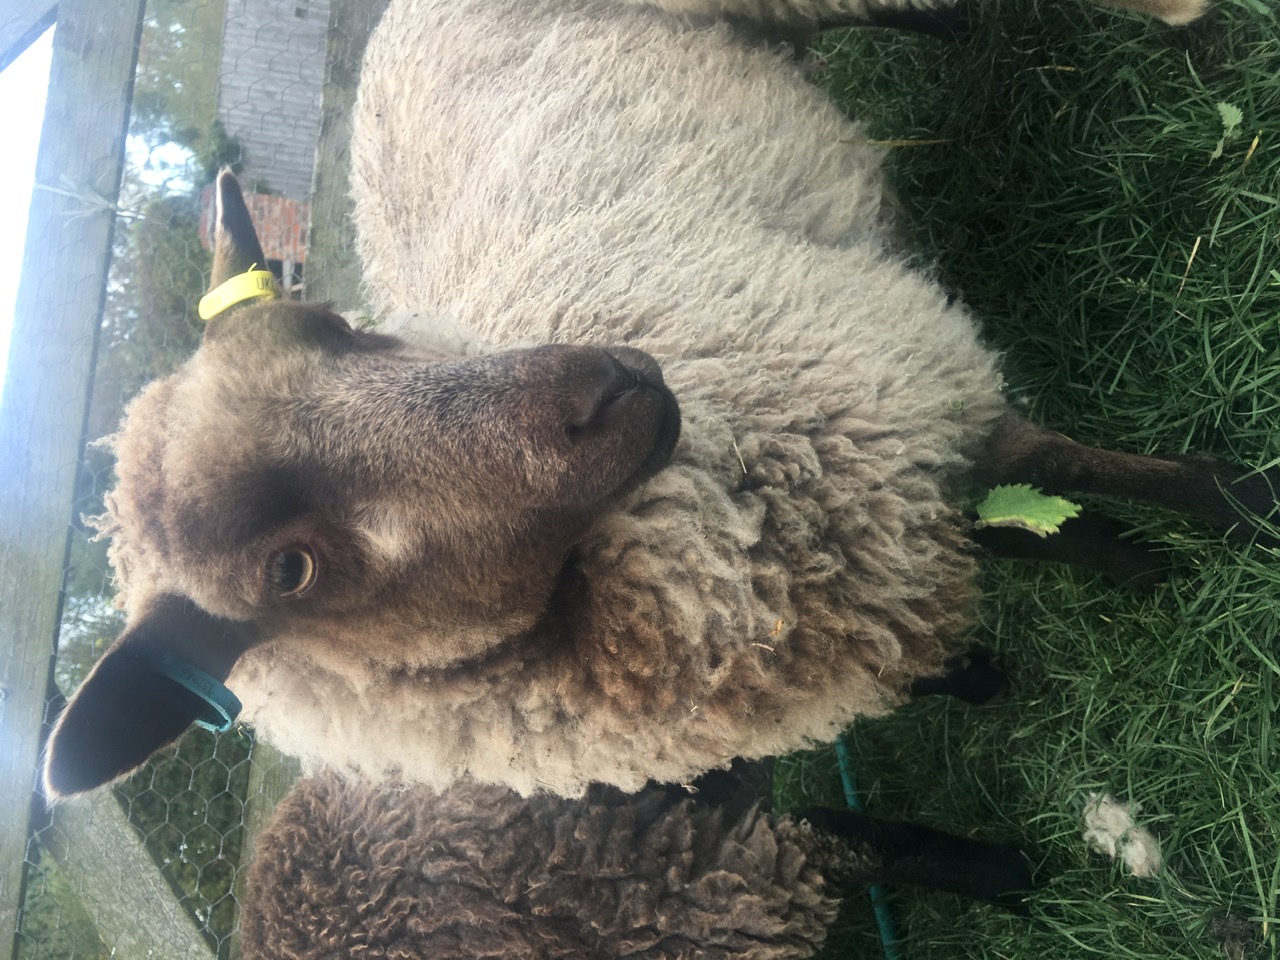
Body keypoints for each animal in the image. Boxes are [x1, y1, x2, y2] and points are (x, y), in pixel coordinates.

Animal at [41, 0, 1274, 803]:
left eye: (336, 326)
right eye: (287, 570)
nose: (606, 384)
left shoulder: (903, 376)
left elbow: (1069, 466)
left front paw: (1240, 504)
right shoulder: (896, 480)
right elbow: (1032, 516)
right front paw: (1126, 565)